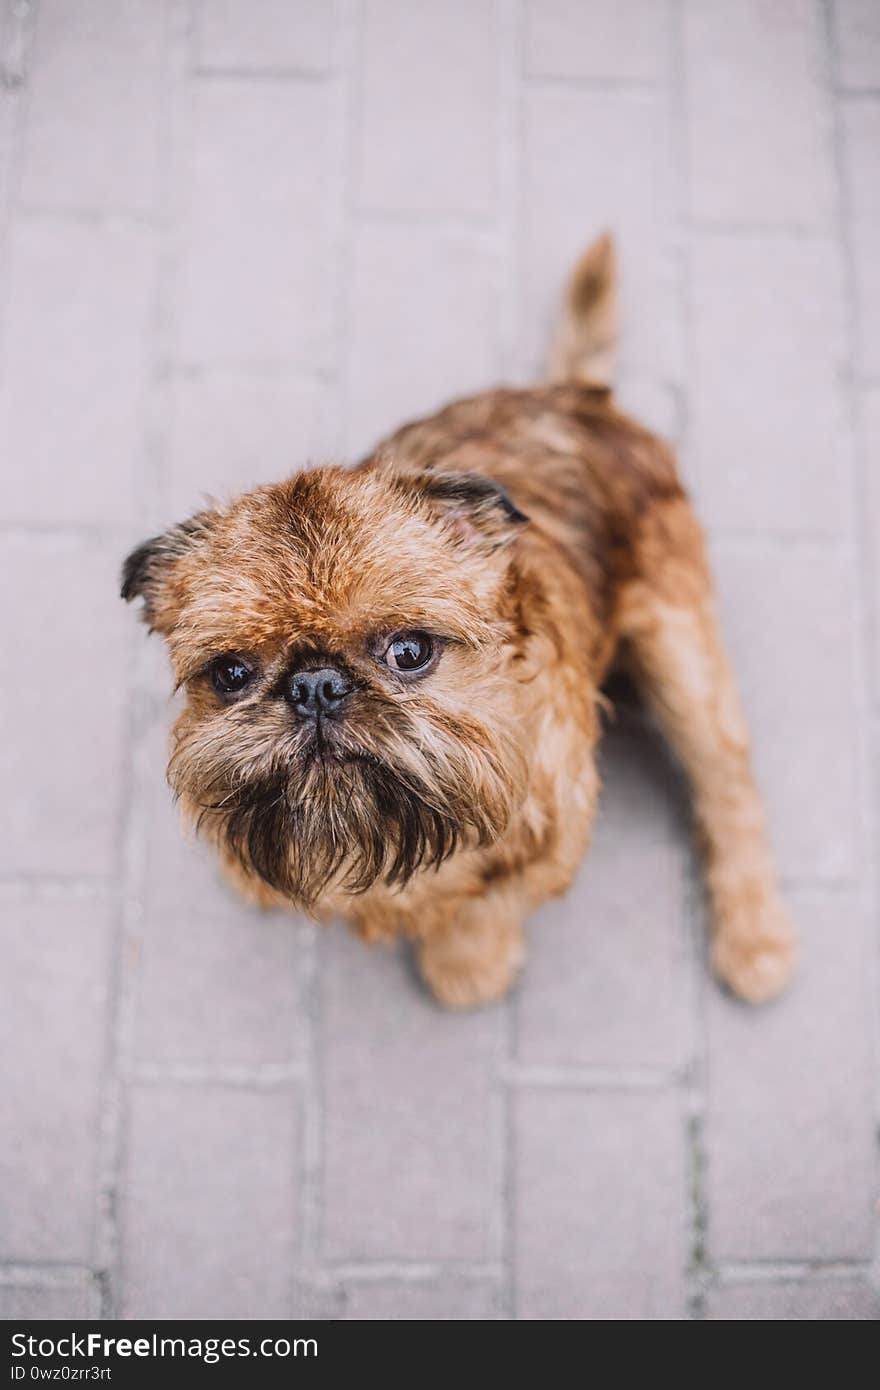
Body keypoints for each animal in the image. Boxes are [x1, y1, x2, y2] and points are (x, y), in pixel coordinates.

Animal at [121, 233, 795, 1006]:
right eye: (231, 673)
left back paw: (755, 938)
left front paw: (467, 964)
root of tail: (577, 398)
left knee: (729, 789)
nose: (315, 685)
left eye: (410, 651)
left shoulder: (553, 835)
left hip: (681, 654)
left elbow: (487, 904)